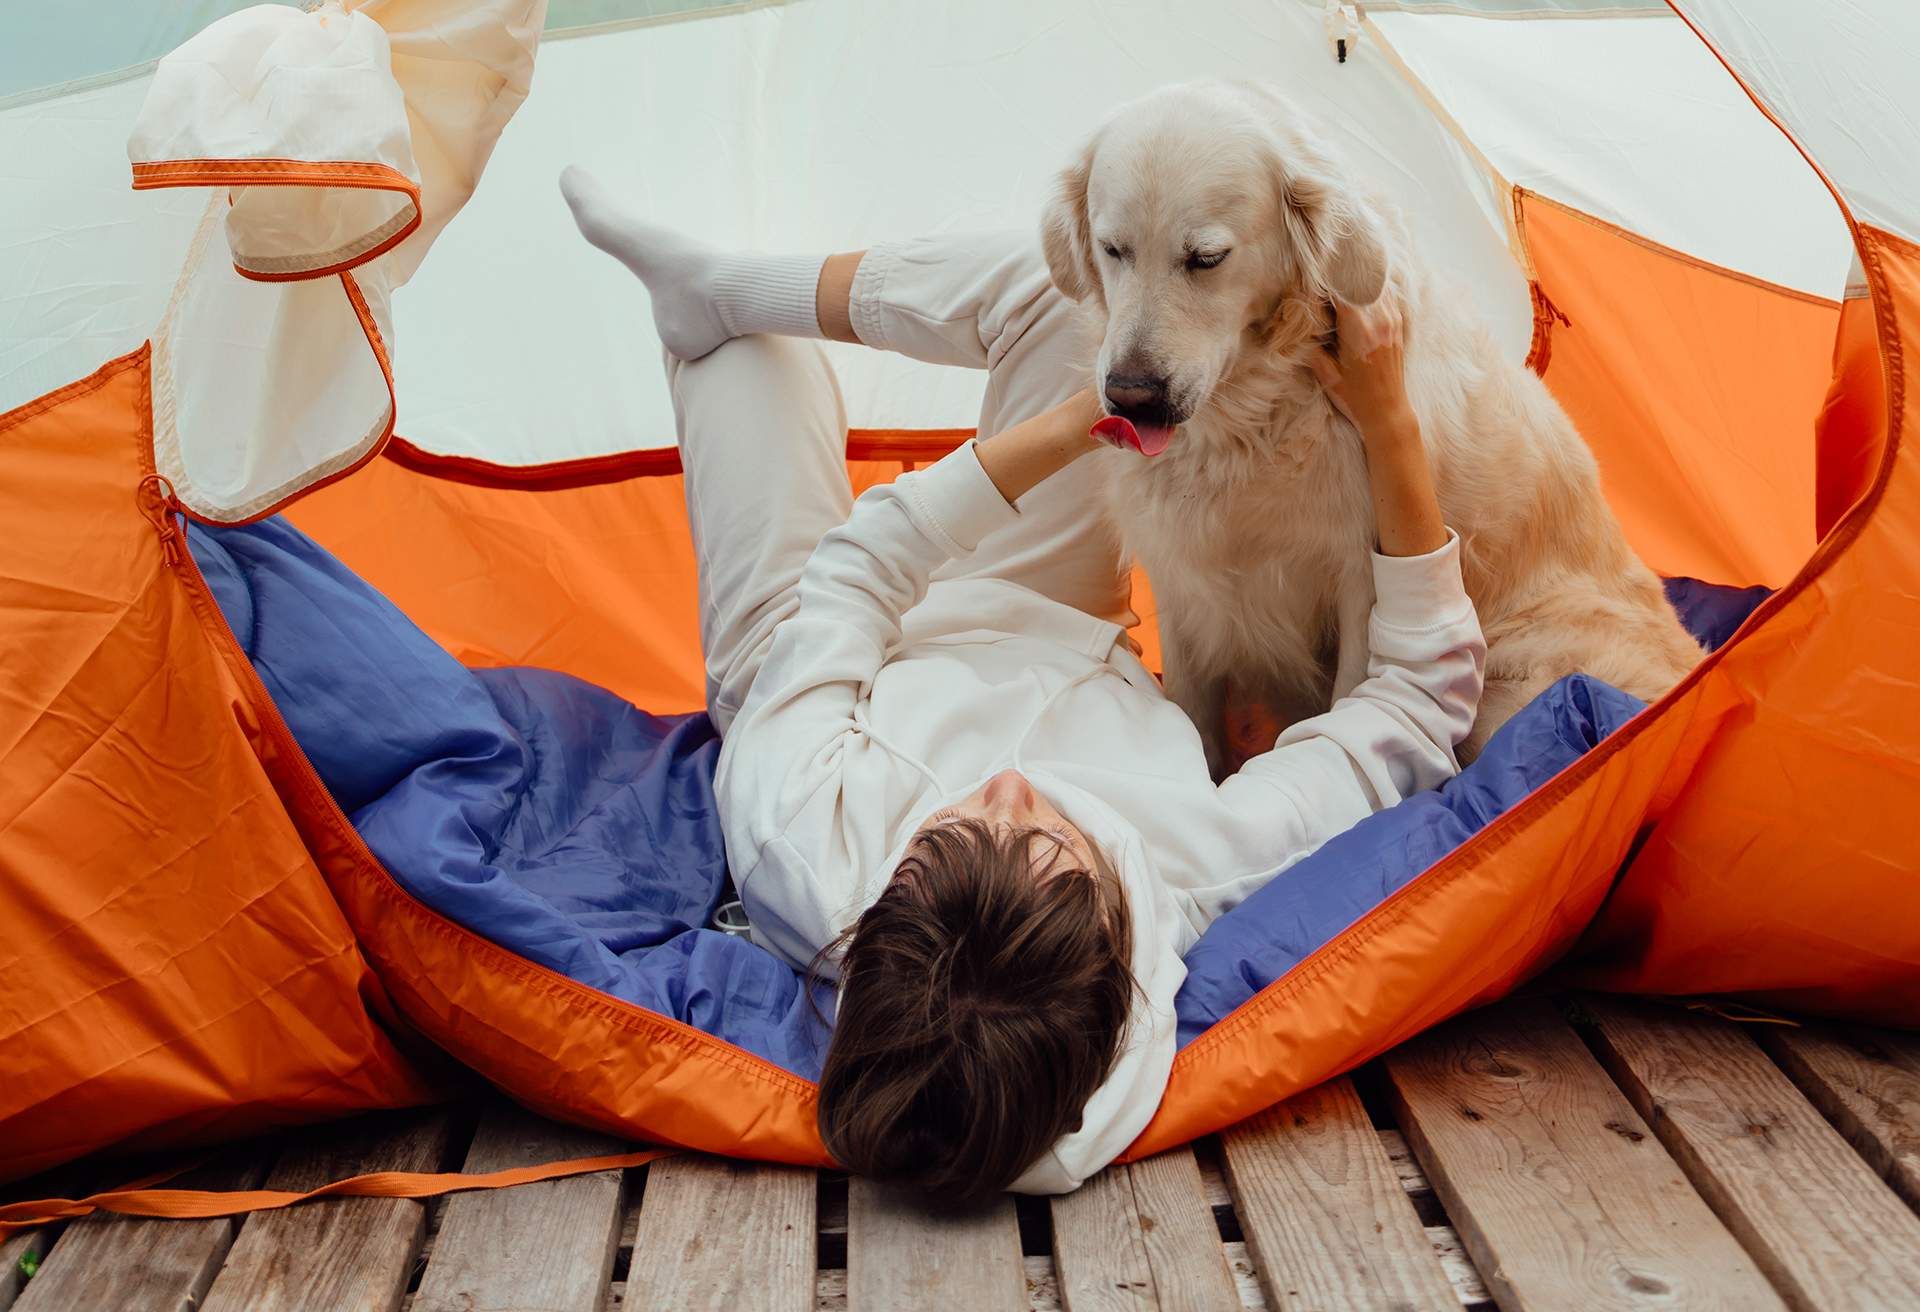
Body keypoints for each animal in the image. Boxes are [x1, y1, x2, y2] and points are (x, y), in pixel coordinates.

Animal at [1052, 79, 1697, 768]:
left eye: (1206, 259)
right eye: (1112, 249)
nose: (1131, 397)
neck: (1252, 419)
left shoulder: (1362, 582)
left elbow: (1352, 694)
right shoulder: (1181, 577)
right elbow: (1190, 712)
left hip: (1512, 689)